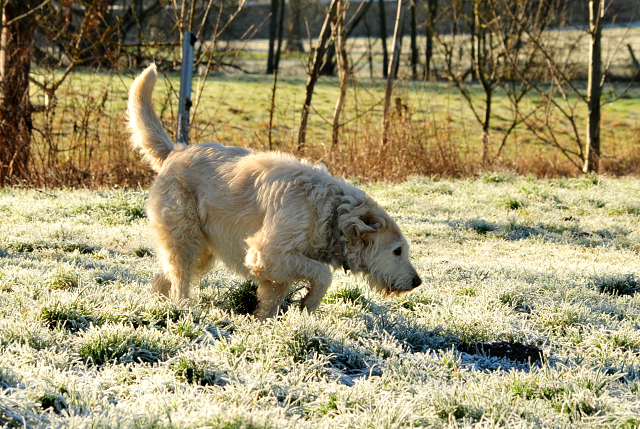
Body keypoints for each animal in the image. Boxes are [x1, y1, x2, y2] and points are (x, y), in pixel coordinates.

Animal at [127, 63, 422, 318]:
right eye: (397, 251)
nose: (417, 282)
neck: (330, 210)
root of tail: (175, 152)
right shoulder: (266, 254)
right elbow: (323, 273)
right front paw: (308, 304)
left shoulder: (277, 271)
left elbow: (272, 300)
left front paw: (270, 323)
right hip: (186, 241)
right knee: (179, 282)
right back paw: (185, 310)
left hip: (201, 250)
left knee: (163, 278)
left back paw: (163, 308)